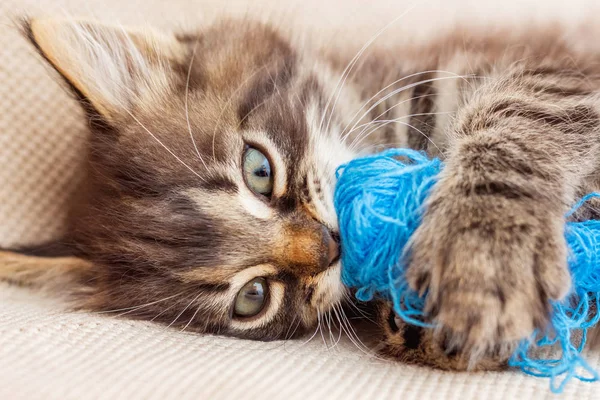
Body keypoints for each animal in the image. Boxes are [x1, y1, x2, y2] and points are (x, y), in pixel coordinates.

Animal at [4, 16, 600, 368]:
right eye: (252, 297)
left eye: (258, 171)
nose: (330, 246)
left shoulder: (555, 72)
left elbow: (513, 117)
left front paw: (481, 259)